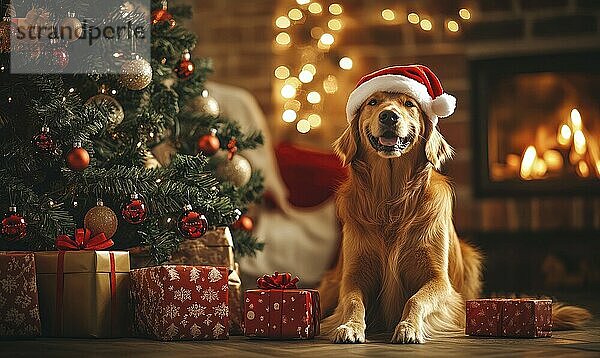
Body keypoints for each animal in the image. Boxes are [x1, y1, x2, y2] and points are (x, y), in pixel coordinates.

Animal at [318, 65, 592, 344]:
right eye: (372, 103)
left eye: (409, 104)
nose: (389, 116)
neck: (392, 201)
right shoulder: (353, 277)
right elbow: (353, 301)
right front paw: (350, 326)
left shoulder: (439, 279)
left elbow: (416, 299)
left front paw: (409, 326)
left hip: (470, 258)